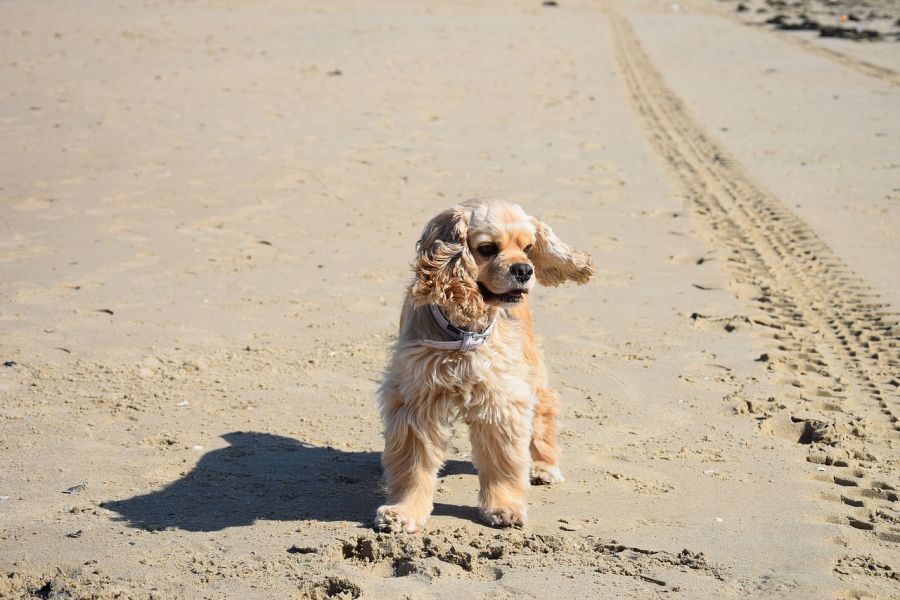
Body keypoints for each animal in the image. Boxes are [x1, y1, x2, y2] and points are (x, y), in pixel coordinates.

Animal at [372, 199, 592, 532]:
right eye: (487, 248)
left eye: (528, 247)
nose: (524, 270)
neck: (465, 326)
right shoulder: (418, 399)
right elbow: (413, 466)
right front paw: (403, 512)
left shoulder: (500, 397)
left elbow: (503, 460)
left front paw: (504, 508)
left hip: (530, 365)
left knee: (545, 405)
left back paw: (545, 466)